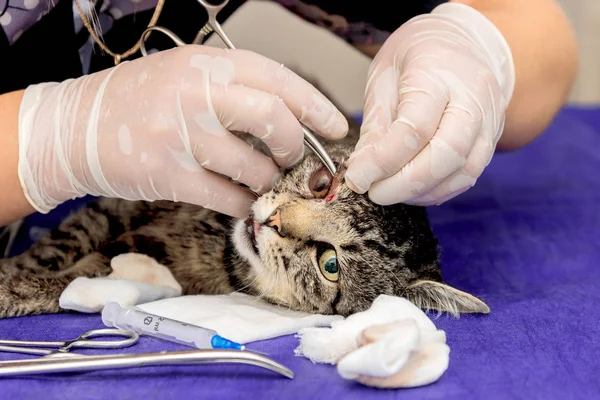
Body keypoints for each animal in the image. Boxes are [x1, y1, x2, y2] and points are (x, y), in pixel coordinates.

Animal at [0, 103, 490, 318]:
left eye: (330, 264)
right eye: (322, 184)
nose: (271, 221)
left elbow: (82, 276)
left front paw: (19, 289)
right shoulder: (126, 198)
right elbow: (62, 243)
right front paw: (15, 271)